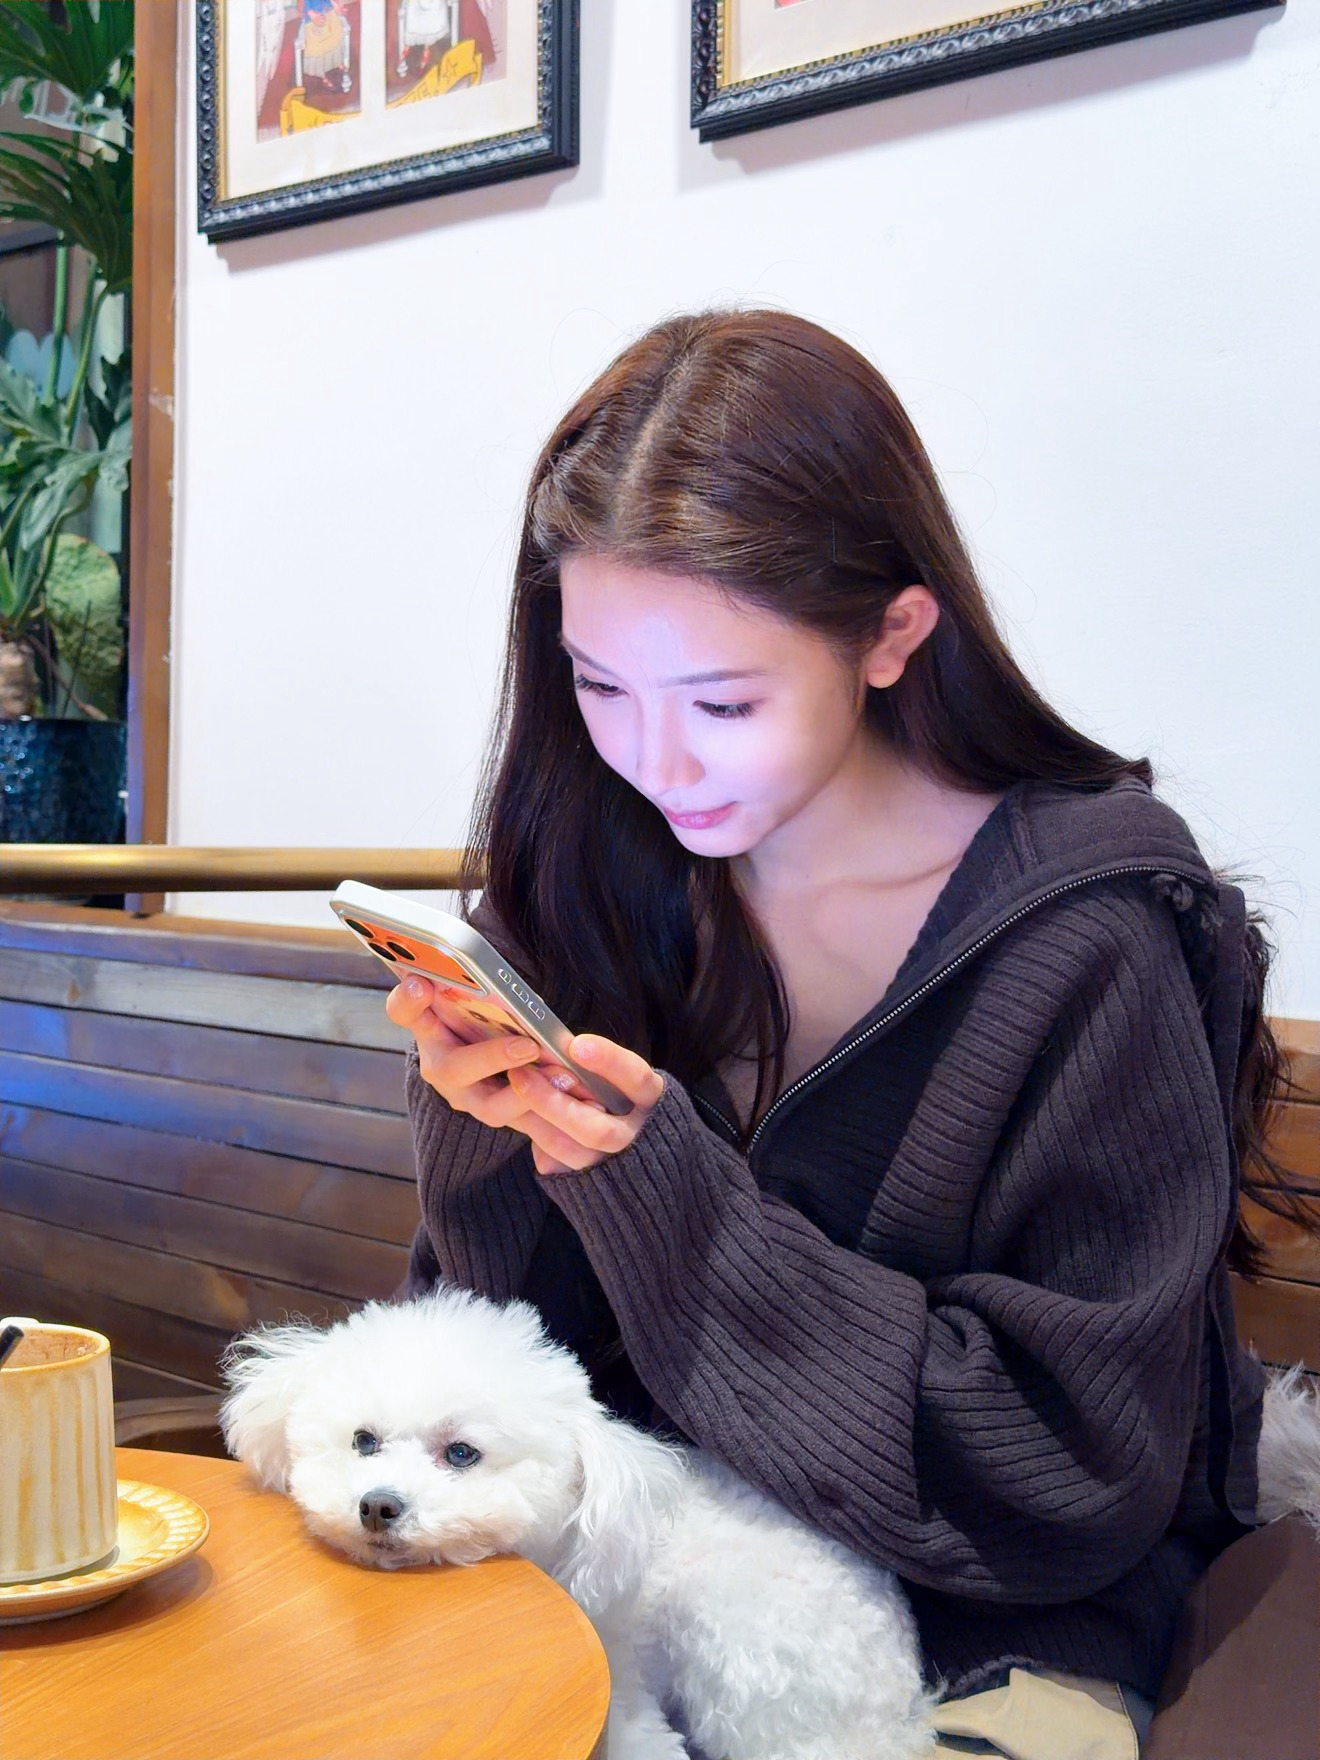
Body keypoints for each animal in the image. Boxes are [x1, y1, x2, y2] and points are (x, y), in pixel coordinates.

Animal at [220, 1286, 1320, 1760]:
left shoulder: (623, 1681)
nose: (379, 1507)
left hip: (741, 1650)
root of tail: (905, 1708)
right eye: (363, 1441)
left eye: (461, 1453)